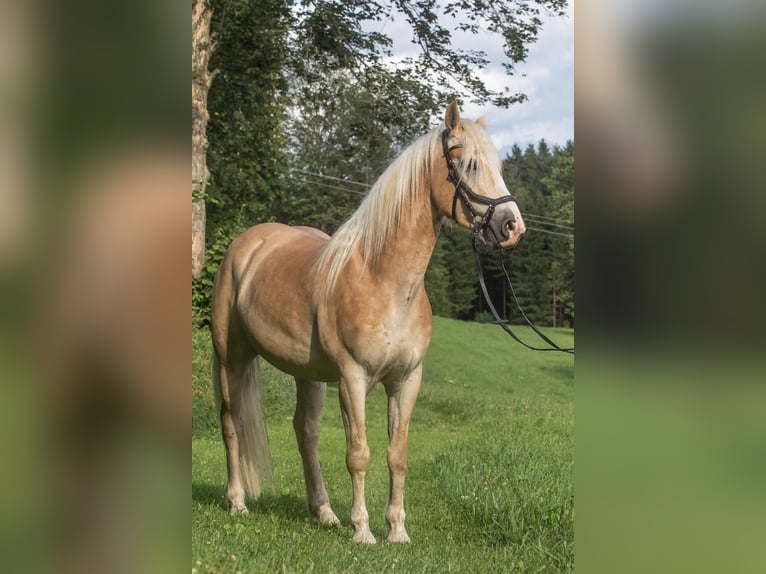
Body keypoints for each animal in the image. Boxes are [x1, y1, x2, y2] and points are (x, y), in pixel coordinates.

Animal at [210, 101, 528, 548]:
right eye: (468, 164)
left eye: (497, 165)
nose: (512, 226)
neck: (386, 282)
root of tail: (246, 245)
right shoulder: (352, 378)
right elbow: (358, 454)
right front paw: (363, 530)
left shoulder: (406, 380)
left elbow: (398, 455)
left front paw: (397, 530)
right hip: (232, 358)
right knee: (231, 422)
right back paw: (237, 501)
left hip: (309, 375)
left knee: (305, 432)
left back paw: (324, 513)